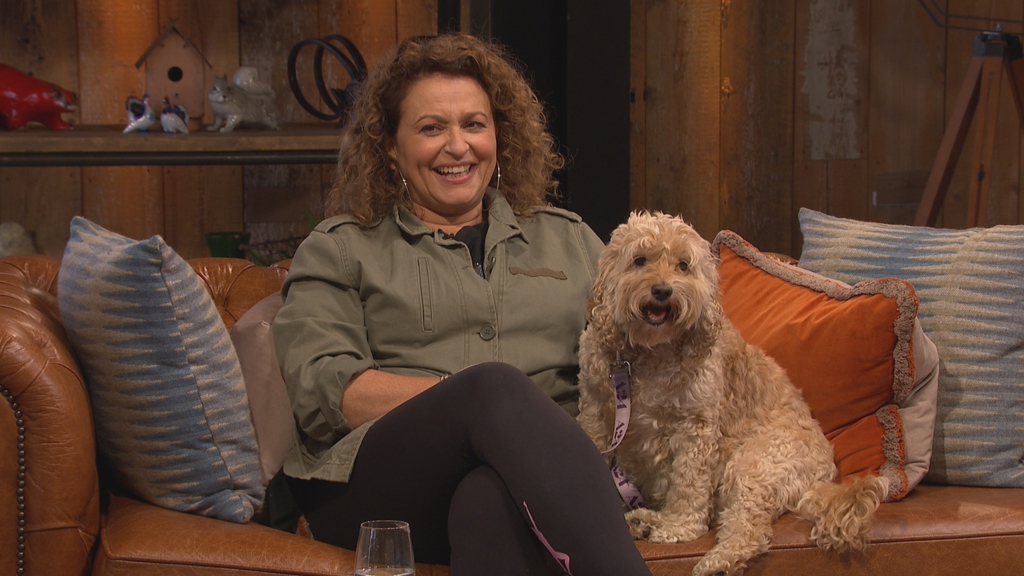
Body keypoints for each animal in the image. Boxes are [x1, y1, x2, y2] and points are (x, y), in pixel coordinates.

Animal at [577, 211, 885, 576]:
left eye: (683, 265)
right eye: (640, 260)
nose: (663, 290)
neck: (648, 352)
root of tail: (826, 471)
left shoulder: (694, 428)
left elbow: (688, 483)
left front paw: (679, 527)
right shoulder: (595, 408)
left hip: (754, 465)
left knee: (747, 528)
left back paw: (715, 560)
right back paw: (645, 521)